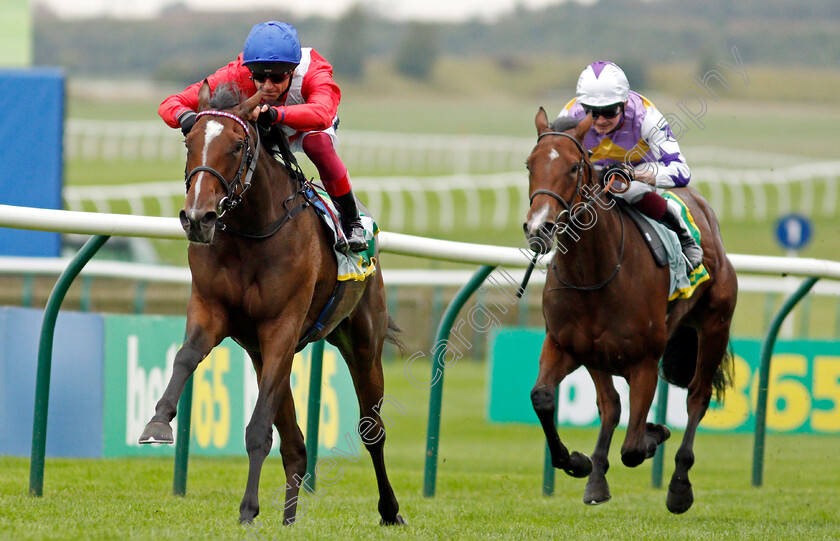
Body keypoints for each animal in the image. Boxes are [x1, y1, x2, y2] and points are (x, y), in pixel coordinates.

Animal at [139, 82, 406, 524]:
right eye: (189, 142)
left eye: (236, 145)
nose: (197, 218)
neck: (252, 231)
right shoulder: (211, 310)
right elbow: (186, 356)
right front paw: (158, 422)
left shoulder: (282, 327)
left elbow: (258, 430)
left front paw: (248, 509)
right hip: (262, 355)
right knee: (296, 446)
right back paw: (289, 519)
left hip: (363, 342)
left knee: (373, 430)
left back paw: (390, 510)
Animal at [524, 107, 736, 512]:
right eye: (530, 164)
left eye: (574, 167)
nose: (538, 227)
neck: (595, 274)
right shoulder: (563, 344)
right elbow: (542, 398)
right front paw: (577, 462)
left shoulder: (644, 361)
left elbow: (635, 448)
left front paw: (656, 432)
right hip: (597, 354)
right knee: (610, 405)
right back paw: (596, 480)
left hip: (715, 325)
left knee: (697, 397)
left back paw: (679, 485)